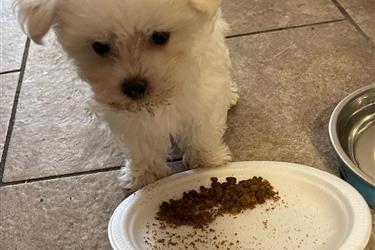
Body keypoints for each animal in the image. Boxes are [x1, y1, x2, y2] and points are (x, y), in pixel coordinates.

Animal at [14, 0, 239, 189]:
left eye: (160, 36)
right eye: (99, 47)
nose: (134, 87)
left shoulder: (203, 94)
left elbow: (201, 130)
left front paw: (207, 160)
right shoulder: (124, 114)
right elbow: (140, 144)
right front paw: (145, 175)